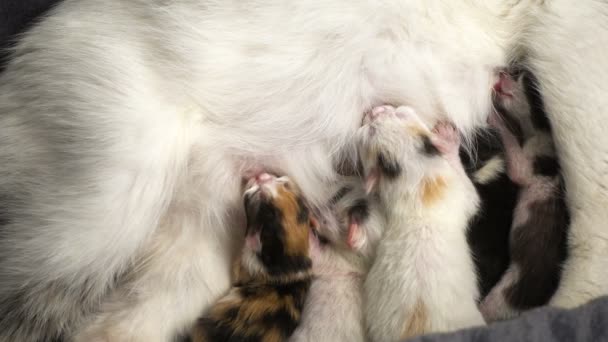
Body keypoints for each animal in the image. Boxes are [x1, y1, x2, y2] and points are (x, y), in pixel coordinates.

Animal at [480, 71, 568, 322]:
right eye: (516, 73)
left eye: (523, 78)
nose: (501, 74)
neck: (538, 132)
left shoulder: (538, 157)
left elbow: (517, 167)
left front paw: (494, 117)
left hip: (505, 297)